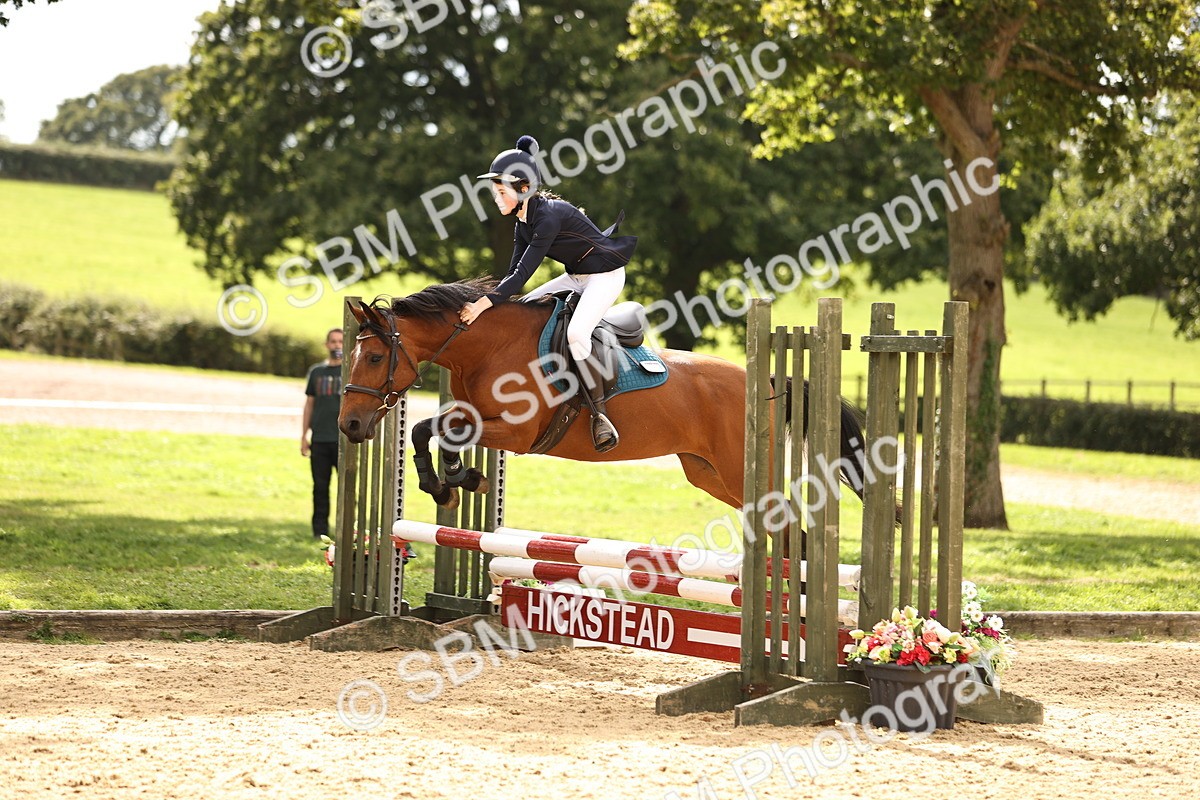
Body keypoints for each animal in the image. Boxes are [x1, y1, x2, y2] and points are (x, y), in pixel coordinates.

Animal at [338, 278, 870, 521]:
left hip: (743, 472)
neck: (486, 347)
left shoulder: (516, 433)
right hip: (710, 475)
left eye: (375, 357)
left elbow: (439, 431)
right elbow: (427, 429)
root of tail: (769, 384)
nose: (349, 427)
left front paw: (455, 480)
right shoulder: (476, 416)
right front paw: (452, 483)